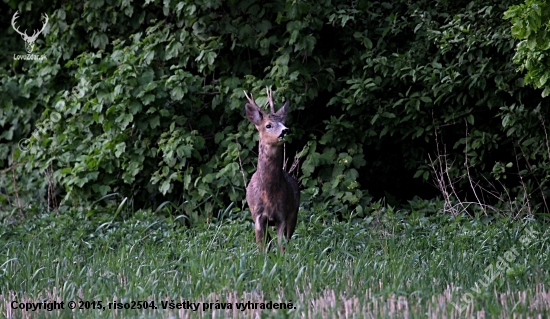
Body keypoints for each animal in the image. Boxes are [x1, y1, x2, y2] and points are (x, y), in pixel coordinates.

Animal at [245, 87, 300, 252]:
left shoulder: (282, 214)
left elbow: (282, 246)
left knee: (288, 238)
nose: (285, 130)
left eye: (284, 122)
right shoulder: (257, 216)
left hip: (294, 212)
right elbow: (261, 246)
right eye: (268, 125)